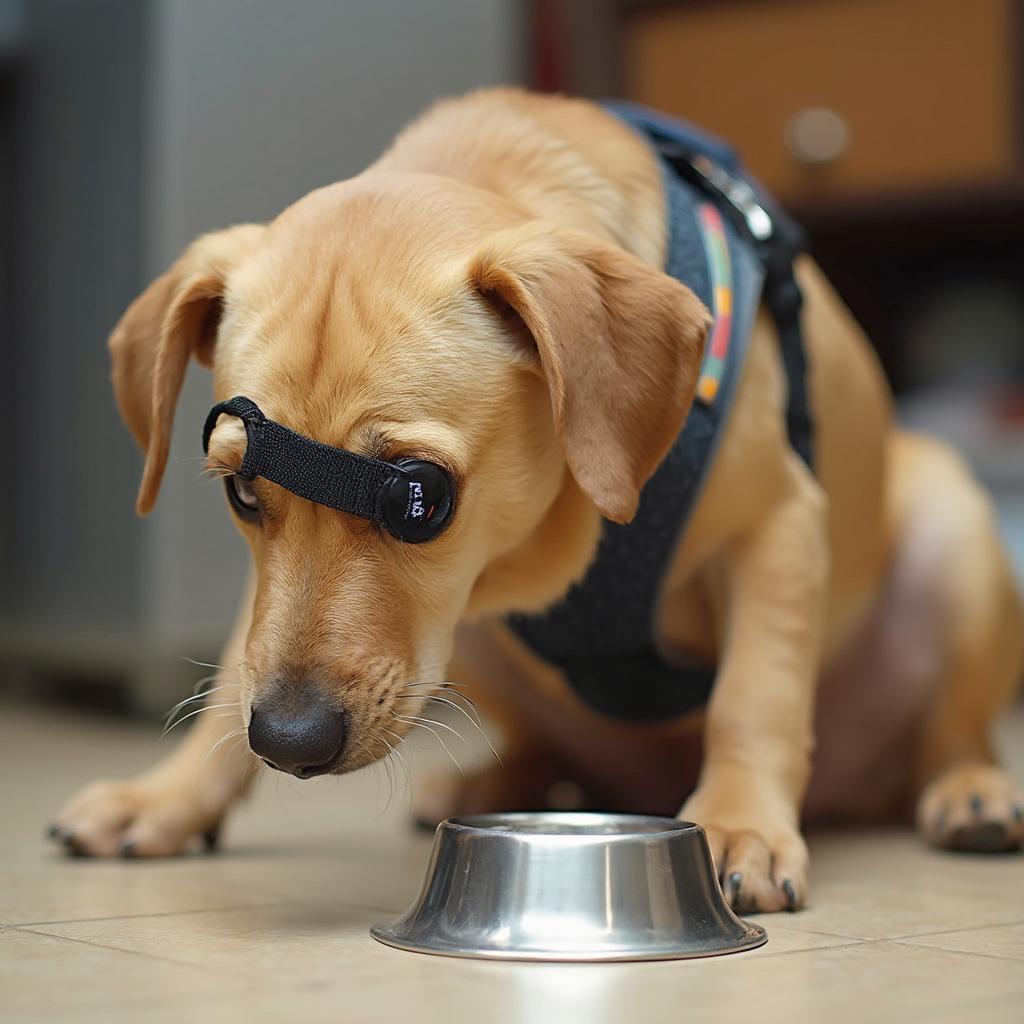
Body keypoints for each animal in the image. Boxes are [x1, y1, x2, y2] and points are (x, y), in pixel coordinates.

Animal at [51, 90, 1019, 913]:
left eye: (420, 500)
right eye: (244, 488)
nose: (289, 741)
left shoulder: (776, 525)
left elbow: (756, 699)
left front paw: (741, 821)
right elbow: (232, 680)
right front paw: (168, 797)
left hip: (954, 530)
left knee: (953, 731)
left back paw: (971, 794)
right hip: (475, 644)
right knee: (542, 752)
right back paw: (482, 781)